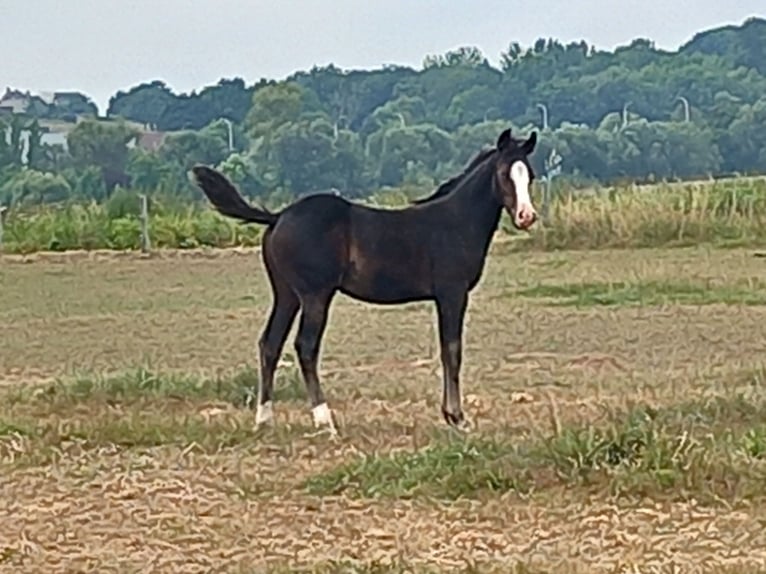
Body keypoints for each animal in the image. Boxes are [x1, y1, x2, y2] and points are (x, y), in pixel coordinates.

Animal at [191, 127, 539, 435]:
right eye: (504, 174)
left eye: (530, 176)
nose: (526, 216)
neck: (455, 222)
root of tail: (278, 217)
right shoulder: (452, 293)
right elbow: (451, 350)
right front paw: (456, 417)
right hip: (315, 295)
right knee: (305, 346)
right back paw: (324, 420)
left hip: (286, 295)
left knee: (270, 344)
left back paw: (264, 420)